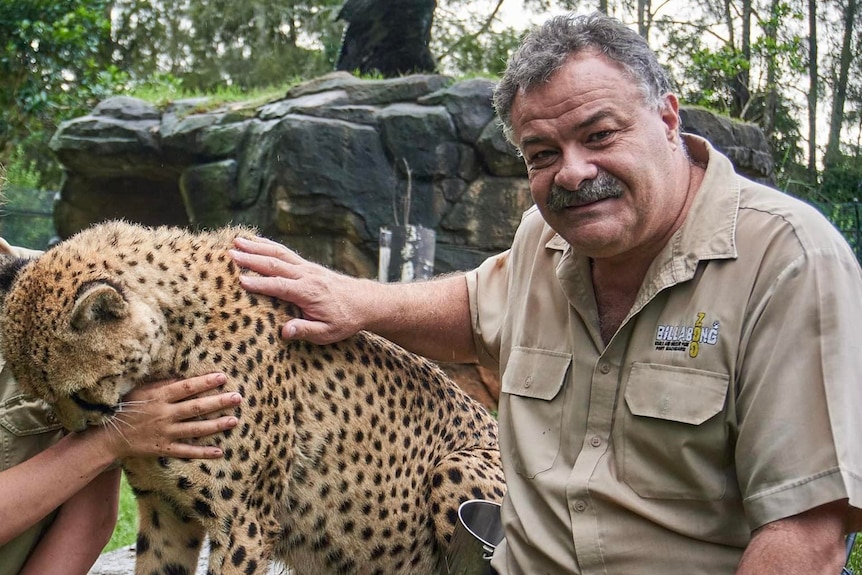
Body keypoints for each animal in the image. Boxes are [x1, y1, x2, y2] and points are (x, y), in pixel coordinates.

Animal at [0, 223, 506, 575]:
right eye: (38, 398)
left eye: (79, 396)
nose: (77, 437)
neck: (172, 343)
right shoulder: (165, 510)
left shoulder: (243, 521)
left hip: (456, 468)